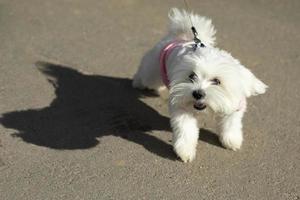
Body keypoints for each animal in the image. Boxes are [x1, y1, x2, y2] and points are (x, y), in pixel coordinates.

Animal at [132, 8, 268, 162]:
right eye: (192, 76)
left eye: (217, 81)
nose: (197, 93)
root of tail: (181, 38)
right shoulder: (182, 106)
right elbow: (186, 129)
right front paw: (185, 150)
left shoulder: (236, 105)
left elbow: (231, 123)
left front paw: (231, 140)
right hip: (153, 68)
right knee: (145, 74)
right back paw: (138, 82)